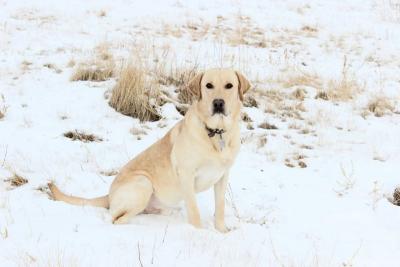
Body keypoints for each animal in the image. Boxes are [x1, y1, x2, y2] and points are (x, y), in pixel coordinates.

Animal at [49, 68, 250, 232]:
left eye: (229, 86)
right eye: (208, 85)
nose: (218, 103)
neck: (217, 133)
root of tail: (109, 195)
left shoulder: (222, 176)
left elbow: (220, 208)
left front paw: (222, 231)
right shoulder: (186, 174)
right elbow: (194, 211)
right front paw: (199, 234)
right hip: (143, 183)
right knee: (117, 219)